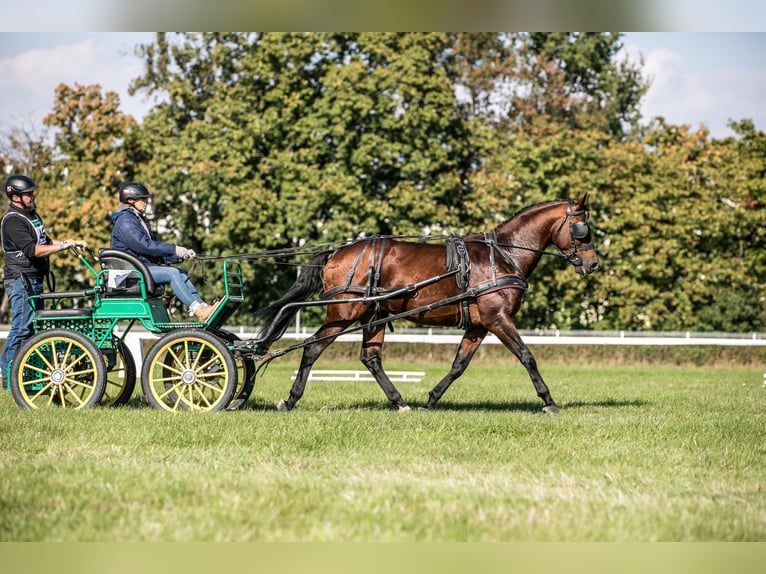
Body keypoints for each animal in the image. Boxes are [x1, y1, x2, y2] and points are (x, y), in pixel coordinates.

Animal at [255, 194, 599, 413]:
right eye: (582, 229)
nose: (592, 263)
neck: (503, 254)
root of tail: (337, 252)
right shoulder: (498, 319)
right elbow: (527, 357)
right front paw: (548, 401)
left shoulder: (478, 325)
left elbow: (459, 365)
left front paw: (431, 399)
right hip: (344, 311)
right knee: (313, 348)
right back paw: (291, 400)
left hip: (372, 315)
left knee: (371, 358)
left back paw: (400, 402)